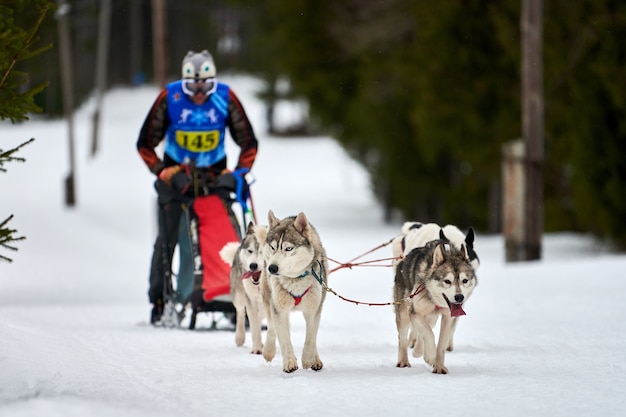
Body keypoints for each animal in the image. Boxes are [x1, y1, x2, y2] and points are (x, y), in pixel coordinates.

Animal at [218, 223, 266, 352]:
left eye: (263, 252)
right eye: (250, 251)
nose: (253, 265)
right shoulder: (250, 300)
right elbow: (254, 327)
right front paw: (257, 350)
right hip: (239, 297)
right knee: (240, 313)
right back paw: (240, 338)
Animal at [260, 210, 330, 372]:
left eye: (288, 248)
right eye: (273, 247)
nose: (272, 268)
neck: (295, 280)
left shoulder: (313, 310)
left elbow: (311, 338)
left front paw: (308, 359)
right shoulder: (279, 310)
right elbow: (284, 339)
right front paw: (290, 362)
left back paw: (316, 359)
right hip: (269, 298)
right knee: (272, 327)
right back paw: (269, 350)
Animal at [392, 240, 476, 374]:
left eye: (465, 280)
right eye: (447, 281)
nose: (459, 297)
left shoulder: (448, 318)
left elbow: (440, 344)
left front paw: (439, 366)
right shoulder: (415, 313)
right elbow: (429, 334)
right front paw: (431, 356)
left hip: (431, 318)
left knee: (423, 331)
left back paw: (418, 351)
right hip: (404, 314)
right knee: (403, 339)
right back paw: (404, 361)